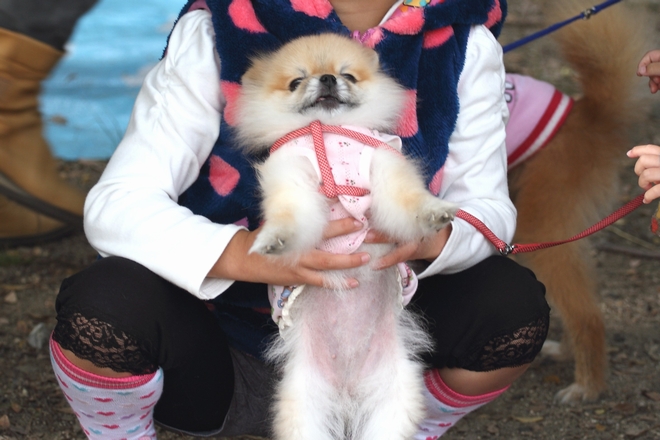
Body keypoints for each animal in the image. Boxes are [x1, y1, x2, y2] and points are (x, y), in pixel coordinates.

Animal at [233, 33, 456, 440]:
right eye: (296, 81)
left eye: (348, 76)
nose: (326, 79)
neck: (327, 131)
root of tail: (347, 389)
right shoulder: (292, 176)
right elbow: (289, 214)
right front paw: (275, 240)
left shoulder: (383, 165)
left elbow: (408, 199)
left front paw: (433, 213)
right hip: (303, 403)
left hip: (394, 395)